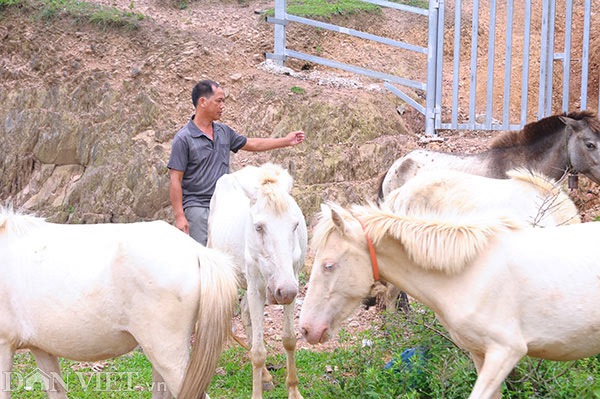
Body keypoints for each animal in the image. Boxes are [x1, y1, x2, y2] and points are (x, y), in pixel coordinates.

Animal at [207, 163, 310, 399]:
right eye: (259, 227)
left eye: (294, 225)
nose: (284, 291)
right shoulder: (257, 287)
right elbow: (258, 352)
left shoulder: (292, 283)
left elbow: (289, 339)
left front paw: (293, 389)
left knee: (245, 313)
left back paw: (265, 377)